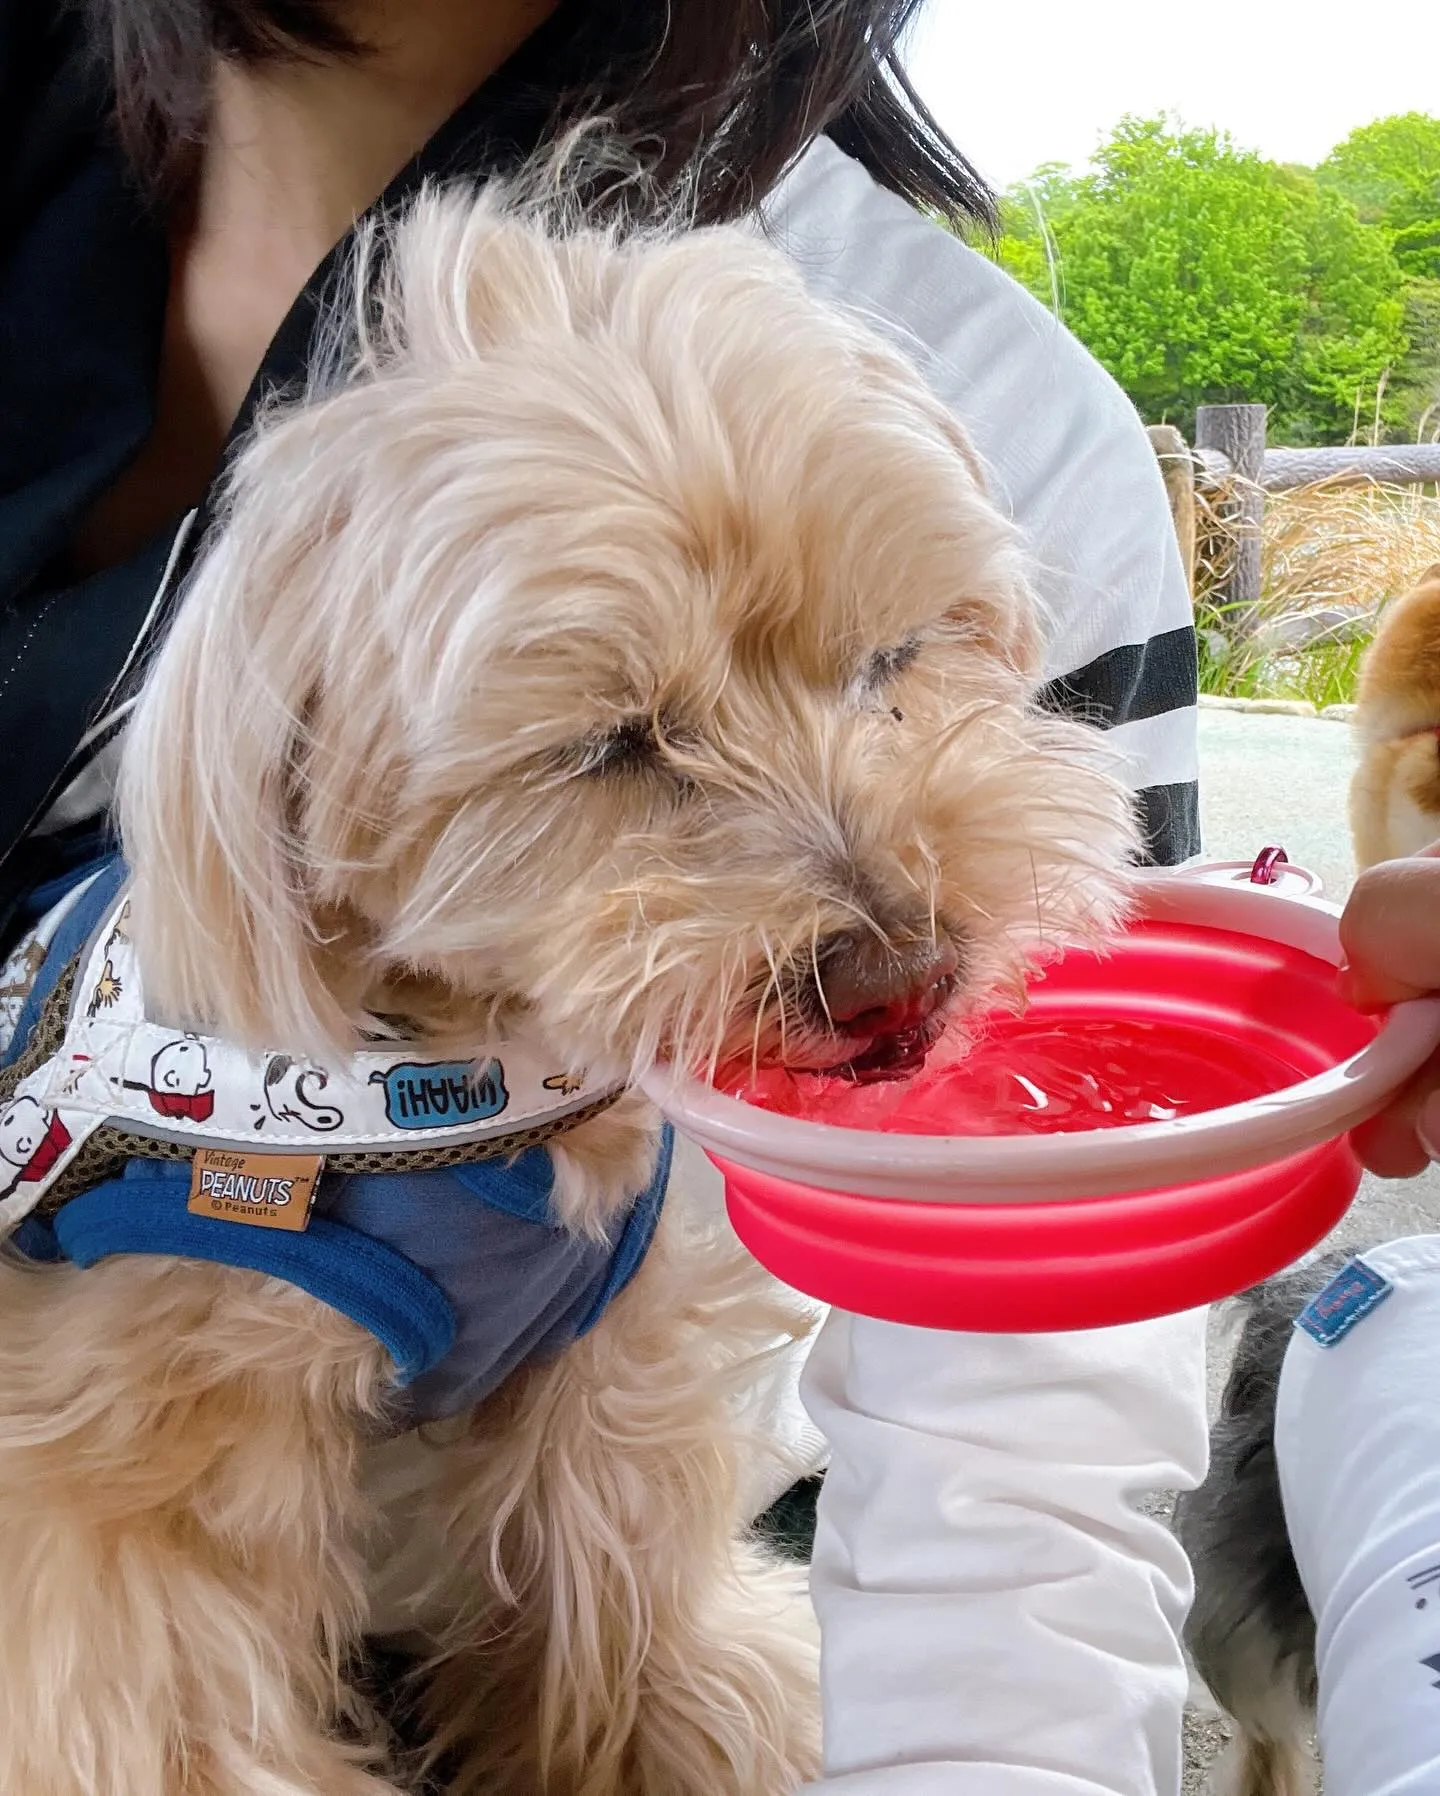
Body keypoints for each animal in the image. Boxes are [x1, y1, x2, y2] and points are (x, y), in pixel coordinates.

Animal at [0, 171, 1141, 1796]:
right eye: (610, 743)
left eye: (893, 657)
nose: (899, 975)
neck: (479, 1085)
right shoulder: (136, 1448)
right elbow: (155, 1705)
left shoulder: (602, 1371)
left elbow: (613, 1589)